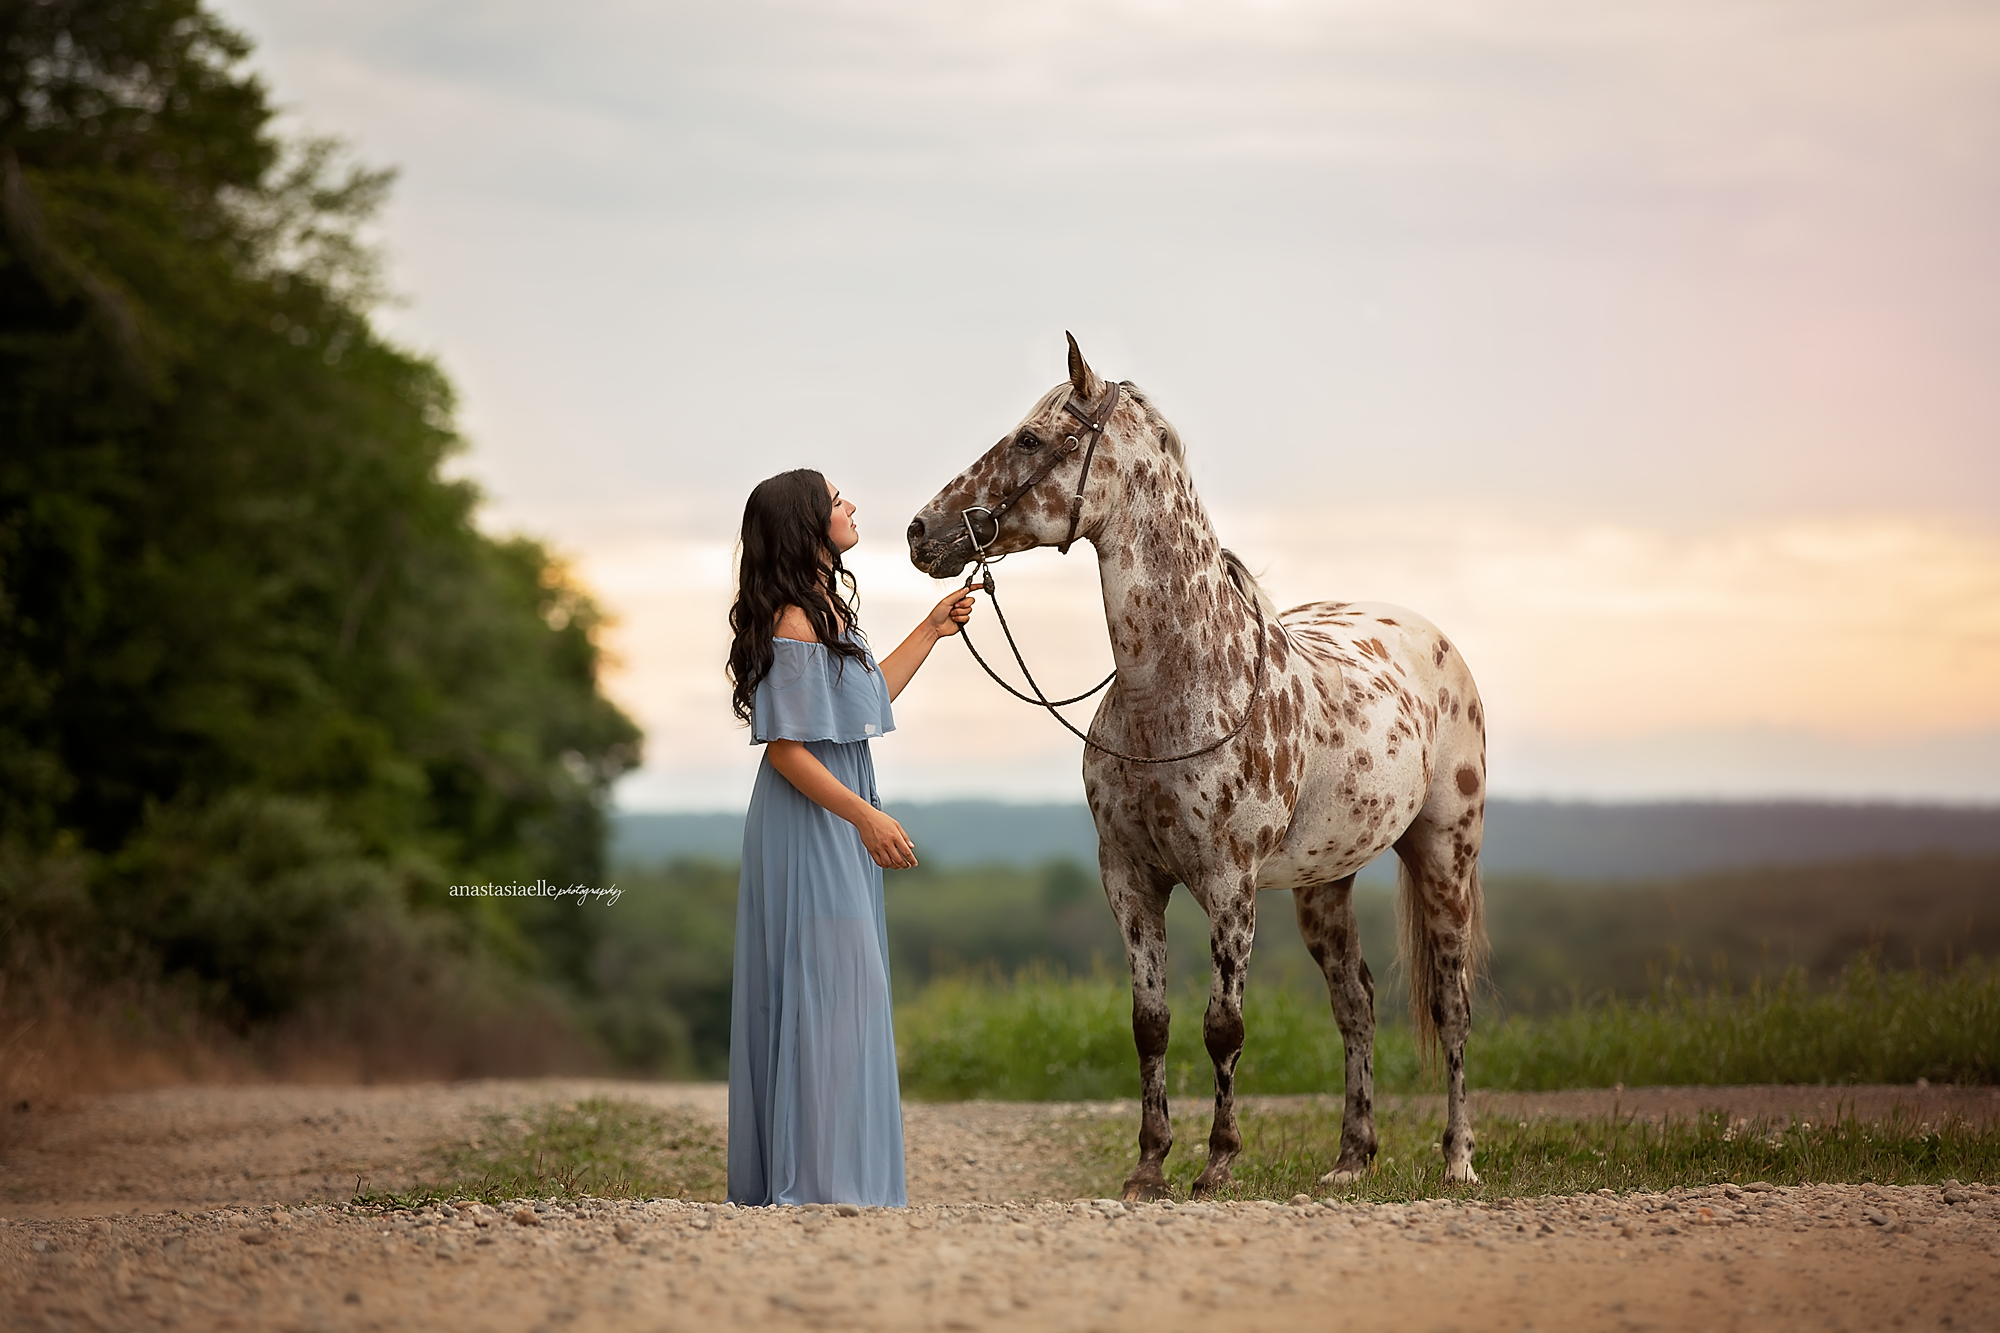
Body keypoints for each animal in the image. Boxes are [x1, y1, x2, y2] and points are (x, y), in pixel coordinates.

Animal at [906, 335, 1489, 1198]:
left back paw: (1457, 1159)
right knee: (1355, 1002)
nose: (922, 532)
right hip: (1324, 882)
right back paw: (1350, 1158)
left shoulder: (1227, 882)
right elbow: (1150, 1025)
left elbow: (1224, 1025)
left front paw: (1217, 1161)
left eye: (1033, 439)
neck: (1177, 691)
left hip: (1445, 853)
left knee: (1451, 1004)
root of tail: (1432, 638)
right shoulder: (1130, 878)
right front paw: (1149, 1165)